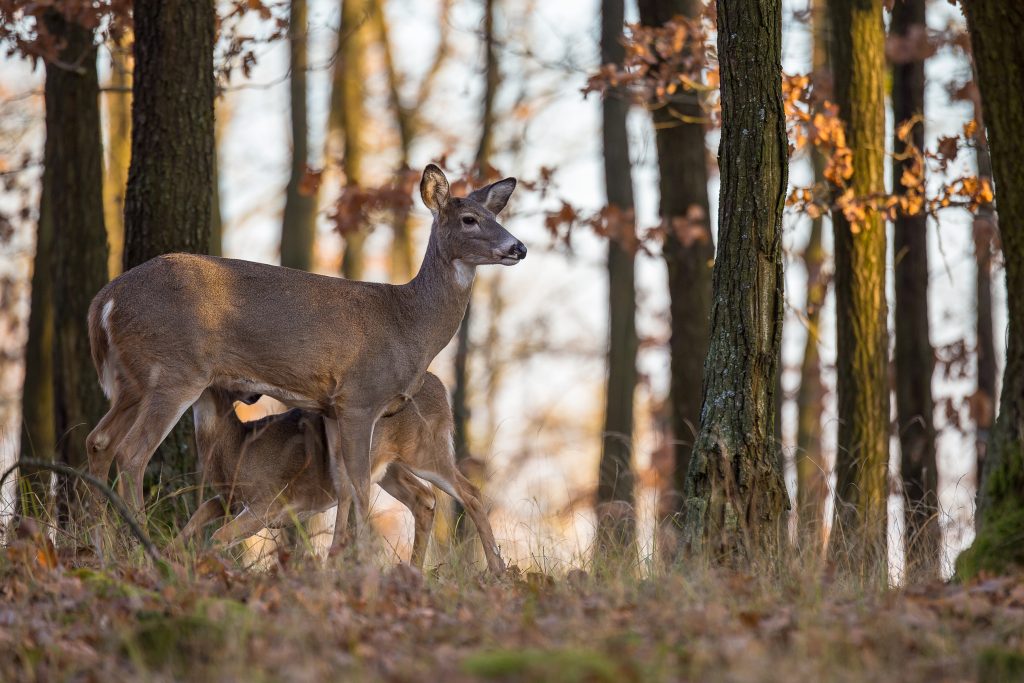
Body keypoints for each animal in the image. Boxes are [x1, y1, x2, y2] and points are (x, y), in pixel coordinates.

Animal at [86, 165, 528, 561]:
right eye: (470, 219)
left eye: (496, 216)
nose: (518, 248)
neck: (410, 324)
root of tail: (104, 301)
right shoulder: (361, 397)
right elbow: (358, 485)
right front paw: (360, 568)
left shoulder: (331, 406)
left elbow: (345, 485)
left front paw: (338, 565)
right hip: (174, 370)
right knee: (132, 454)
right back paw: (142, 551)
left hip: (132, 382)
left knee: (99, 441)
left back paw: (101, 548)